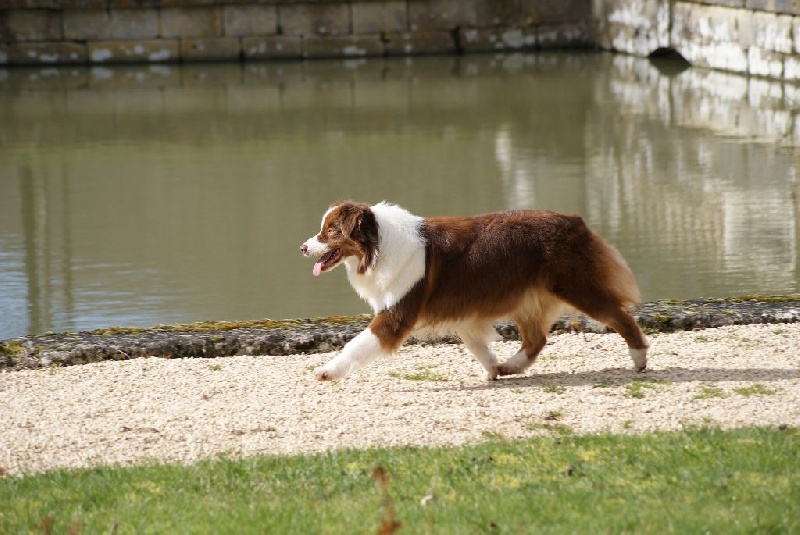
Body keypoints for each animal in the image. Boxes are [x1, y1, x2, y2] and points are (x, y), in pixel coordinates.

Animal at [302, 201, 648, 382]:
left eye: (330, 231)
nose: (303, 247)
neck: (378, 246)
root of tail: (576, 221)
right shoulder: (462, 312)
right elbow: (477, 345)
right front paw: (494, 369)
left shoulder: (396, 315)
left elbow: (356, 345)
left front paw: (327, 371)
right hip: (527, 299)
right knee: (536, 339)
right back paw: (510, 366)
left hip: (576, 287)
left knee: (620, 316)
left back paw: (639, 359)